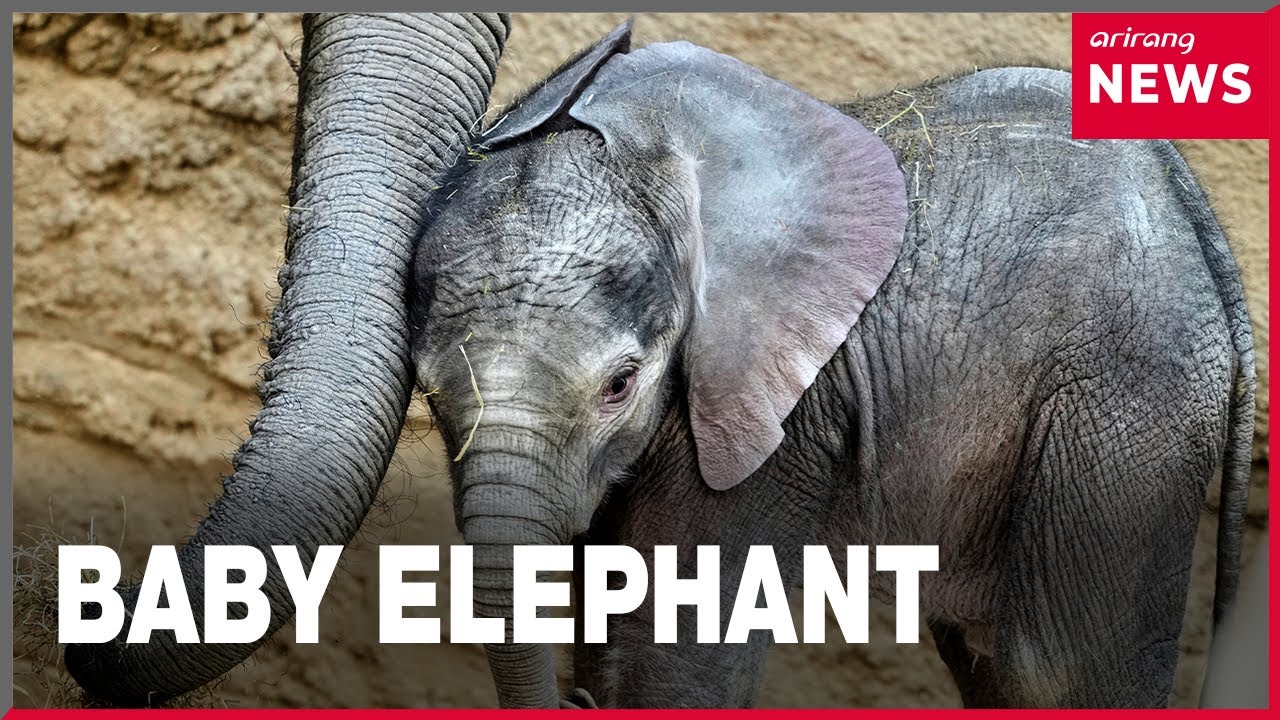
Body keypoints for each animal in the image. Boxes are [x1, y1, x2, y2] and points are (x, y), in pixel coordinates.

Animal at [408, 21, 1255, 708]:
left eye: (620, 385)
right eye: (431, 398)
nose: (568, 701)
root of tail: (1187, 196)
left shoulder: (779, 412)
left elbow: (676, 663)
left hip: (1128, 391)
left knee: (1052, 667)